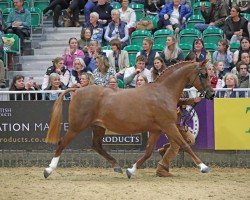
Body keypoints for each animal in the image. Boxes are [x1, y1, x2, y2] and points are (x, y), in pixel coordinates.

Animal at [43, 60, 215, 178]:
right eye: (203, 74)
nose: (211, 94)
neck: (163, 92)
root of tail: (77, 91)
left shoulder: (156, 129)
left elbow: (148, 152)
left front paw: (130, 170)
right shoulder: (168, 125)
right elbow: (185, 144)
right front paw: (204, 167)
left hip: (98, 126)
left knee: (96, 146)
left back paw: (117, 166)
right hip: (76, 126)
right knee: (62, 143)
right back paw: (48, 170)